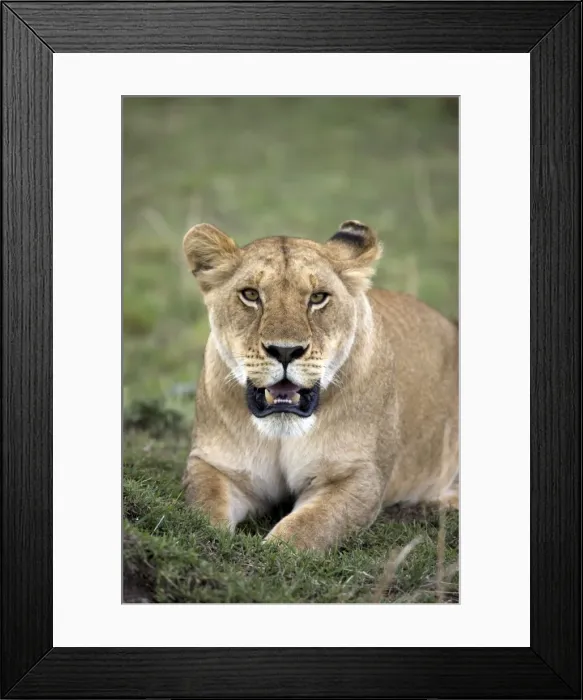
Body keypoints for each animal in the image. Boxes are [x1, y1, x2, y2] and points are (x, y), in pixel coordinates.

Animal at [181, 220, 459, 551]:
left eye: (317, 298)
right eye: (250, 294)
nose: (285, 351)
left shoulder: (357, 476)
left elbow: (306, 528)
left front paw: (271, 550)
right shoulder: (216, 464)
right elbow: (203, 510)